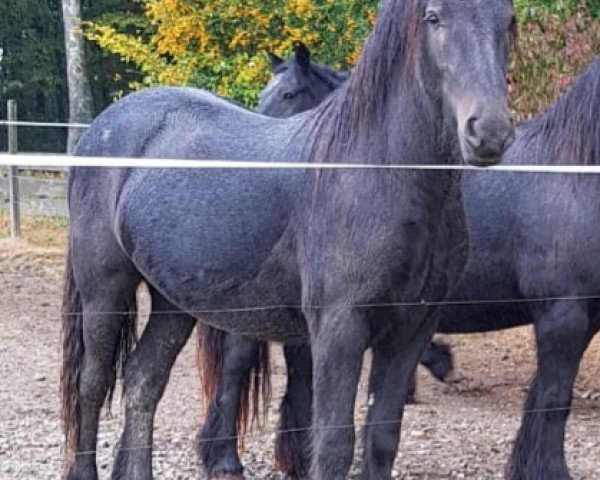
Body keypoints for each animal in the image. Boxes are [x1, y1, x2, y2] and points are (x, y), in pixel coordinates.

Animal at [59, 1, 516, 478]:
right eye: (433, 17)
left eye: (509, 20)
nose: (488, 132)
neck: (377, 173)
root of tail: (102, 127)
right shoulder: (339, 329)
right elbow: (333, 444)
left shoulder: (411, 329)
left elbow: (381, 439)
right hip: (104, 287)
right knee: (93, 383)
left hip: (174, 303)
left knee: (144, 380)